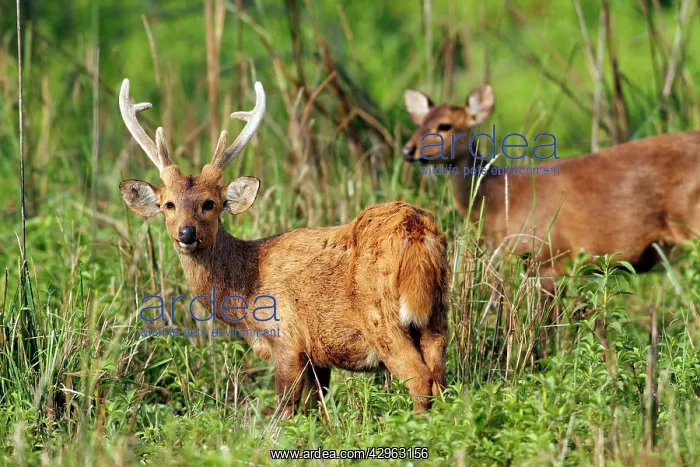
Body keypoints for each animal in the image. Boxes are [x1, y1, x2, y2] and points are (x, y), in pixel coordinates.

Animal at [117, 78, 450, 418]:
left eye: (209, 203)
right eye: (168, 205)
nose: (186, 233)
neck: (248, 289)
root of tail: (415, 228)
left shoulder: (287, 339)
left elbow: (286, 409)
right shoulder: (317, 356)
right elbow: (316, 409)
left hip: (383, 316)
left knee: (419, 378)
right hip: (437, 313)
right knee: (440, 378)